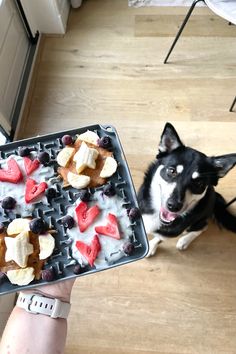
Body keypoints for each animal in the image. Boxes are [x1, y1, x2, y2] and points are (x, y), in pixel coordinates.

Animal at [137, 123, 236, 256]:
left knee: (203, 227)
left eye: (199, 183)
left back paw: (185, 240)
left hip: (199, 220)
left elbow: (160, 238)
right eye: (171, 171)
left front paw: (152, 246)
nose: (174, 206)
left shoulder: (170, 233)